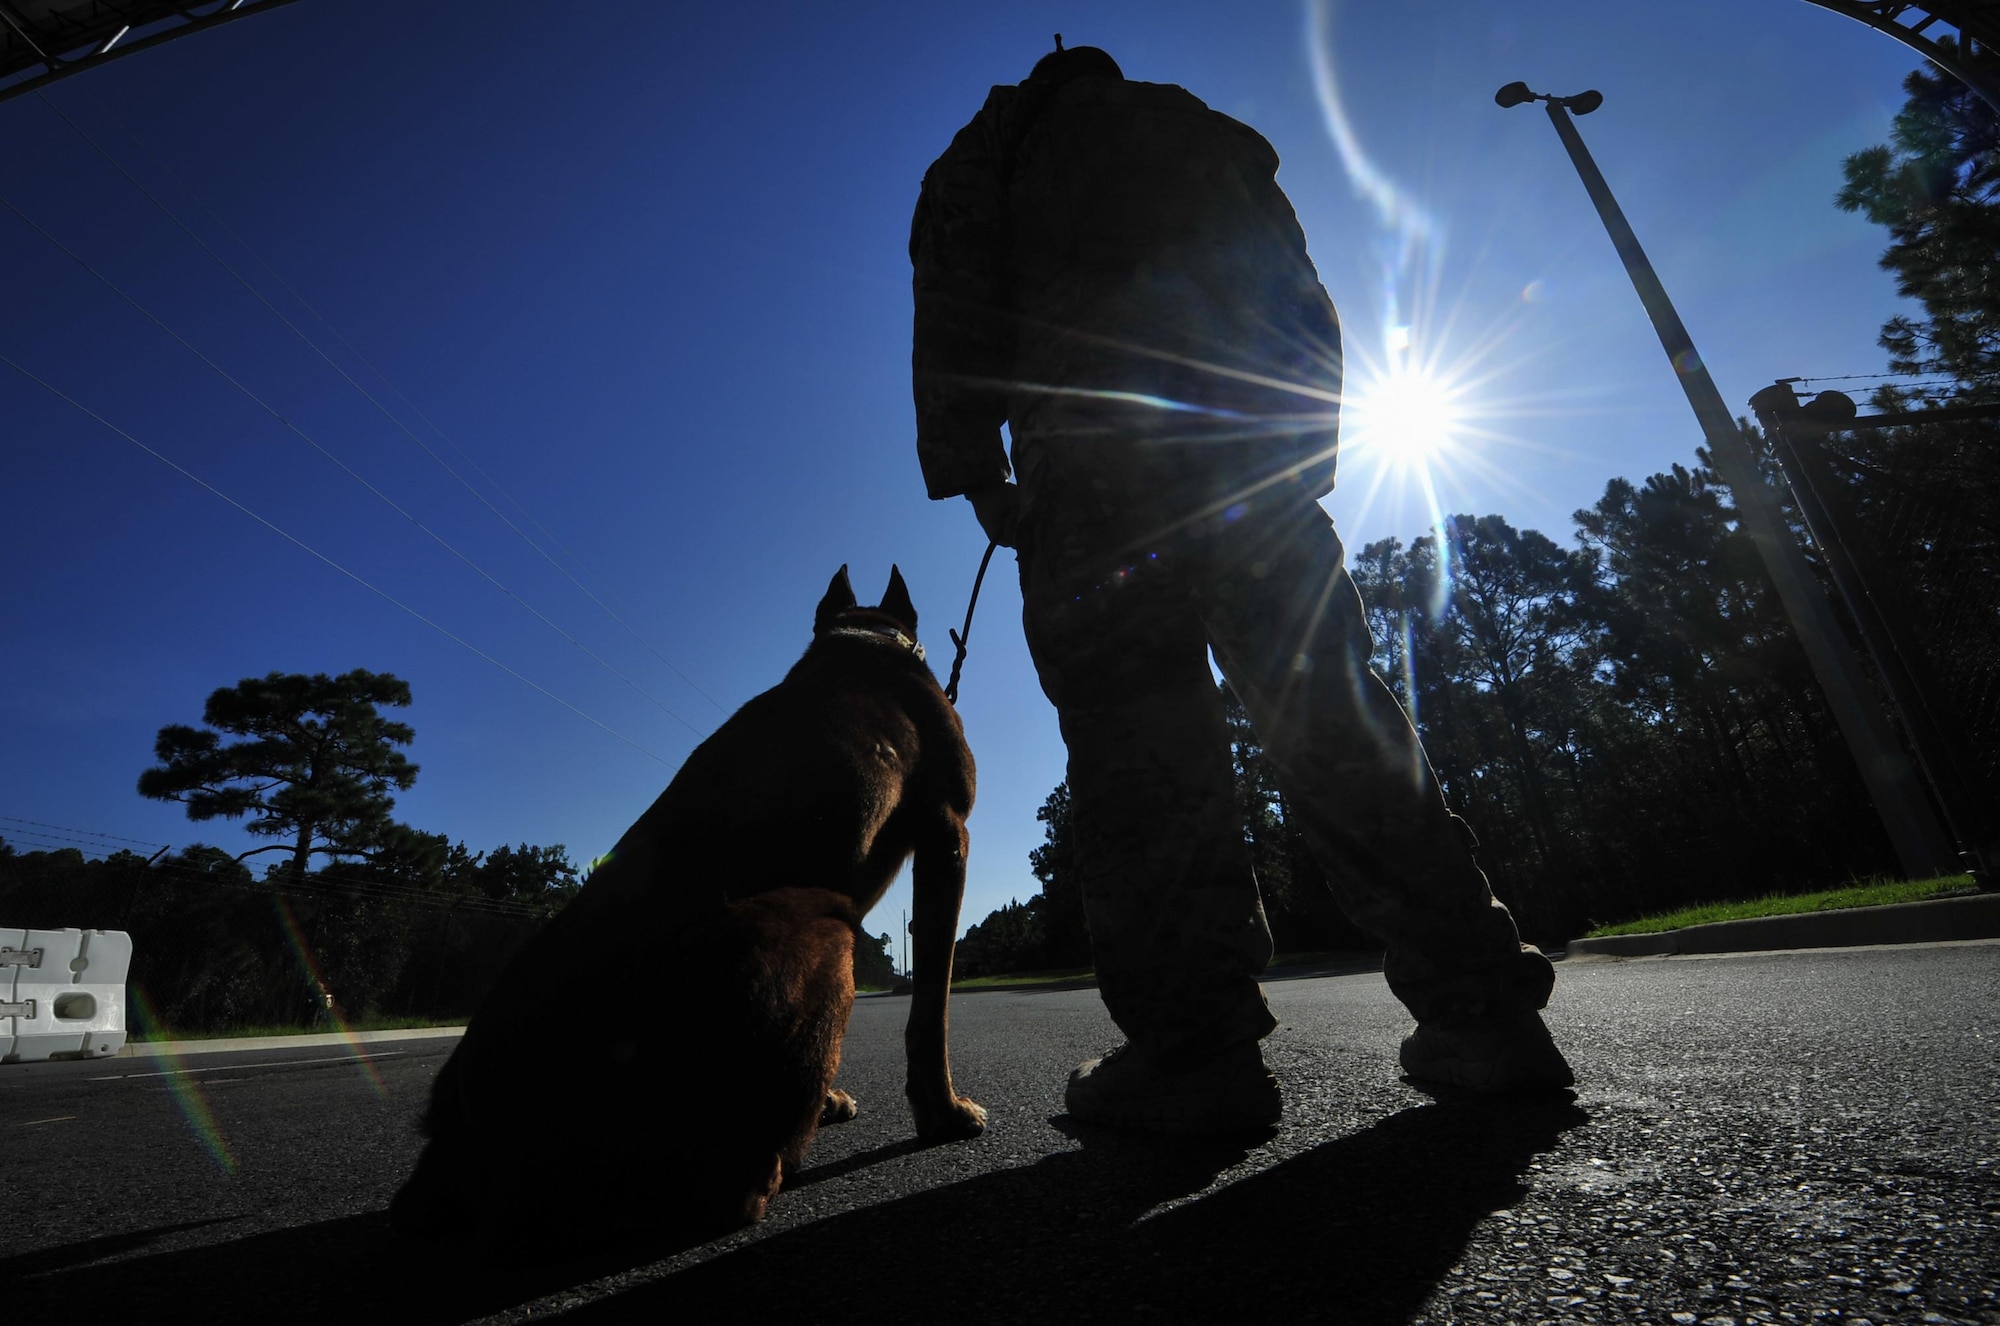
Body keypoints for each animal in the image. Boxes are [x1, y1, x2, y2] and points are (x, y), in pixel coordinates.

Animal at [390, 568, 984, 1256]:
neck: (865, 638)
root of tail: (460, 1148)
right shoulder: (947, 833)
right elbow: (931, 1011)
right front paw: (944, 1114)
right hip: (820, 930)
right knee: (727, 1191)